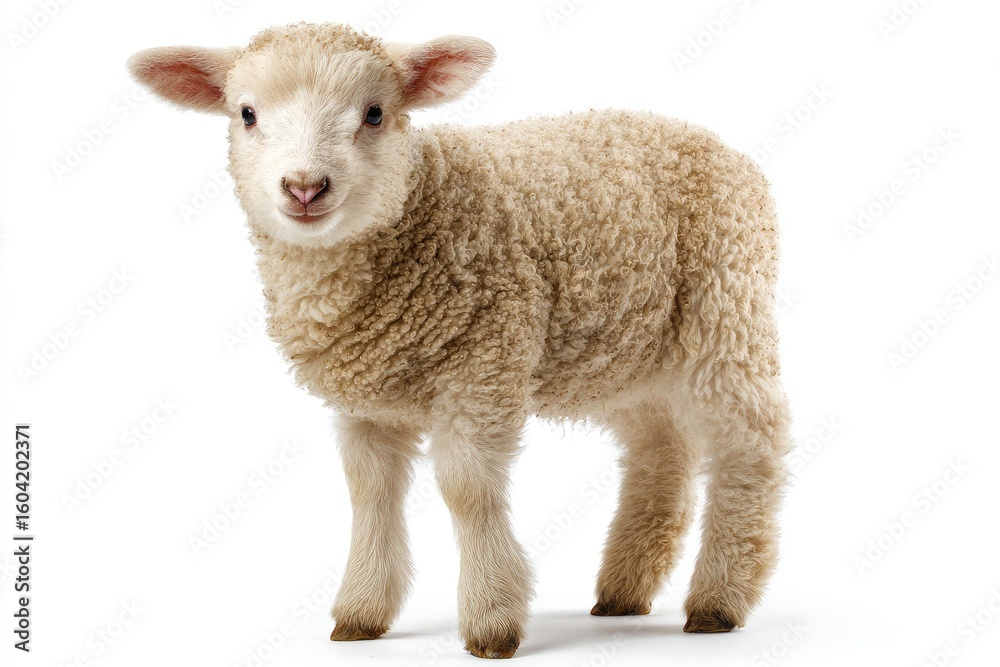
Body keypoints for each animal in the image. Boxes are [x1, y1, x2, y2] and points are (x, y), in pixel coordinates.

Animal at [128, 22, 791, 660]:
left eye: (375, 113)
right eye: (246, 113)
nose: (305, 187)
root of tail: (715, 143)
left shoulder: (485, 365)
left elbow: (467, 490)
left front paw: (492, 620)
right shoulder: (366, 398)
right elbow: (369, 492)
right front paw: (362, 612)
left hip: (726, 310)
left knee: (748, 445)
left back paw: (719, 598)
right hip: (628, 353)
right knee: (661, 453)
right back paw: (624, 590)